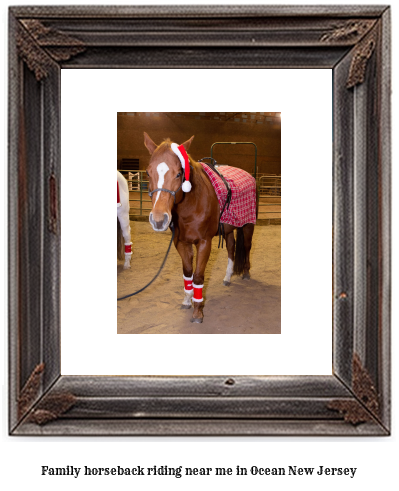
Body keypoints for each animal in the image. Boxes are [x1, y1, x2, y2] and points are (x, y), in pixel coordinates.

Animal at [144, 133, 256, 324]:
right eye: (148, 172)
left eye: (179, 174)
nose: (158, 220)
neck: (191, 205)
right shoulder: (181, 242)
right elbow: (188, 273)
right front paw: (187, 300)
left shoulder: (204, 243)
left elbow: (198, 276)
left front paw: (197, 312)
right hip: (228, 229)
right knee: (231, 248)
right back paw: (227, 277)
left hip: (248, 225)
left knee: (246, 247)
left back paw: (246, 273)